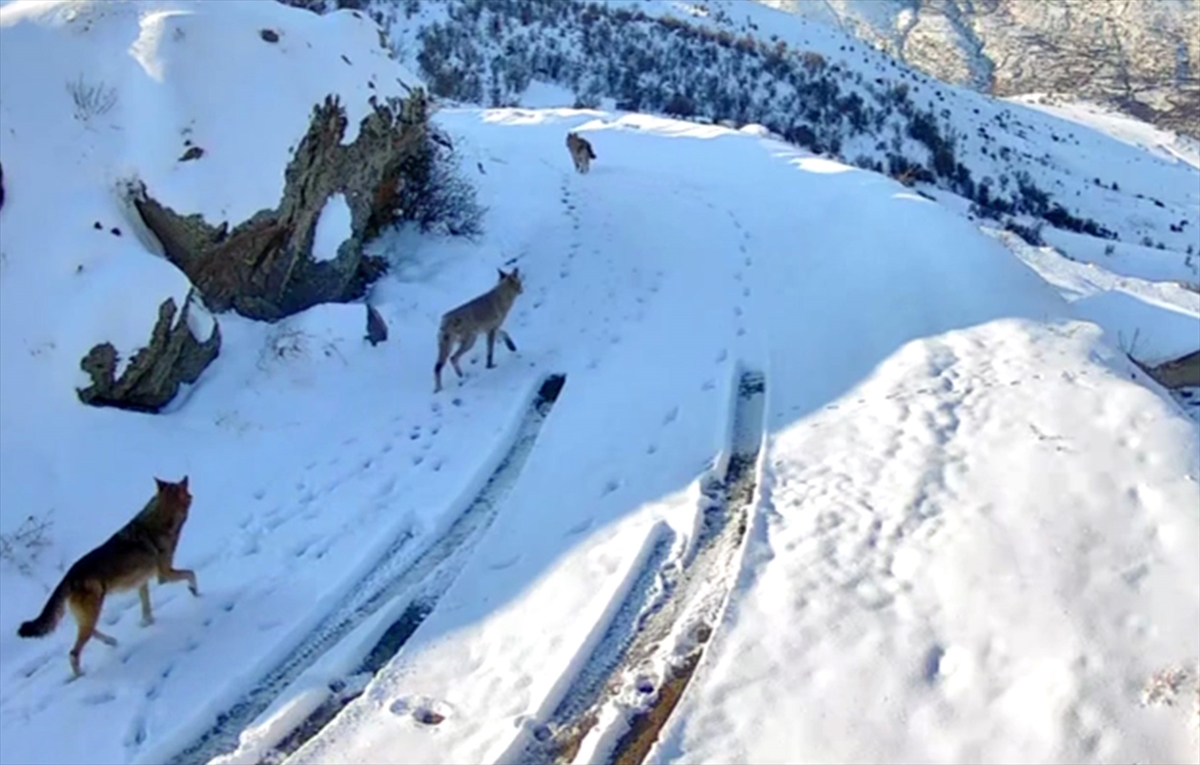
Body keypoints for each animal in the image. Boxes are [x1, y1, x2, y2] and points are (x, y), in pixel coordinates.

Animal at [17, 477, 199, 681]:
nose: (189, 482)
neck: (161, 519)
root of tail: (68, 577)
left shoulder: (142, 582)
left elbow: (147, 608)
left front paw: (148, 624)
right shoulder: (164, 575)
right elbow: (191, 574)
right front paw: (196, 593)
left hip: (89, 616)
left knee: (90, 633)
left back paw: (111, 641)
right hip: (93, 612)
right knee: (73, 652)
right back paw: (81, 674)